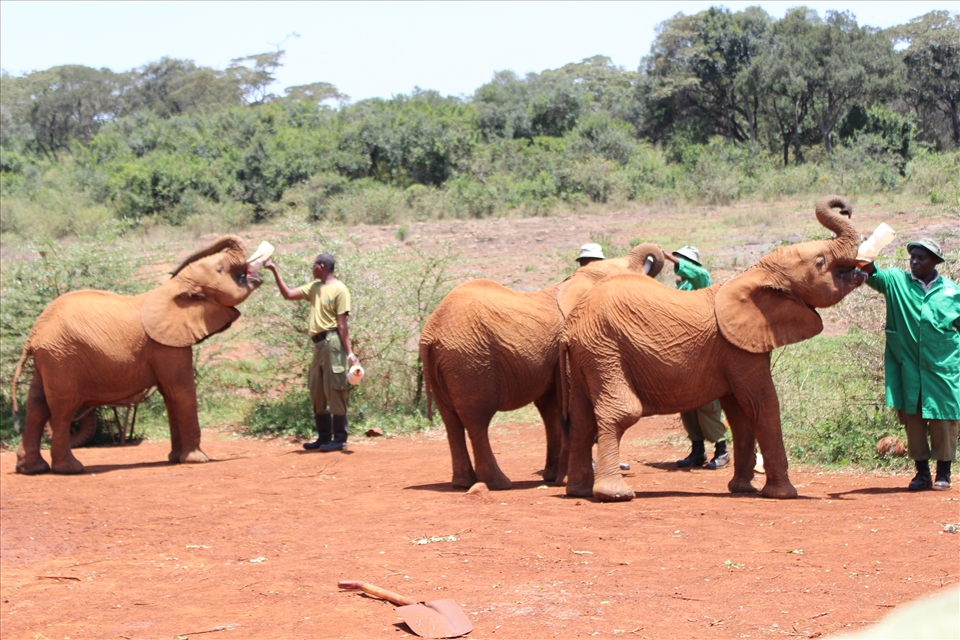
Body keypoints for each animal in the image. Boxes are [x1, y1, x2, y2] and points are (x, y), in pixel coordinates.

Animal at [12, 235, 262, 475]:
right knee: (63, 408)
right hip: (62, 356)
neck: (176, 287)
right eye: (220, 269)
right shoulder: (165, 345)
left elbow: (169, 394)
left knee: (36, 404)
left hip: (49, 357)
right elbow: (181, 391)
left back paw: (31, 469)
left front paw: (175, 459)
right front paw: (197, 459)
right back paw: (70, 469)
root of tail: (33, 337)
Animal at [419, 243, 664, 490]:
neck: (576, 280)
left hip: (446, 364)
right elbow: (567, 409)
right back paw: (499, 483)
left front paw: (552, 477)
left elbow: (552, 409)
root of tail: (429, 332)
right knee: (476, 419)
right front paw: (564, 480)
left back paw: (462, 483)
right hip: (469, 361)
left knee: (451, 421)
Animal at [559, 195, 862, 501]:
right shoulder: (738, 349)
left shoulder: (735, 349)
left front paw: (743, 489)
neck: (755, 273)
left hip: (587, 355)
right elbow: (762, 404)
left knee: (582, 419)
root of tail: (570, 326)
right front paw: (783, 494)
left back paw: (578, 491)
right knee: (621, 412)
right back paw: (615, 494)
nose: (845, 208)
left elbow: (740, 413)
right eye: (821, 262)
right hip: (605, 349)